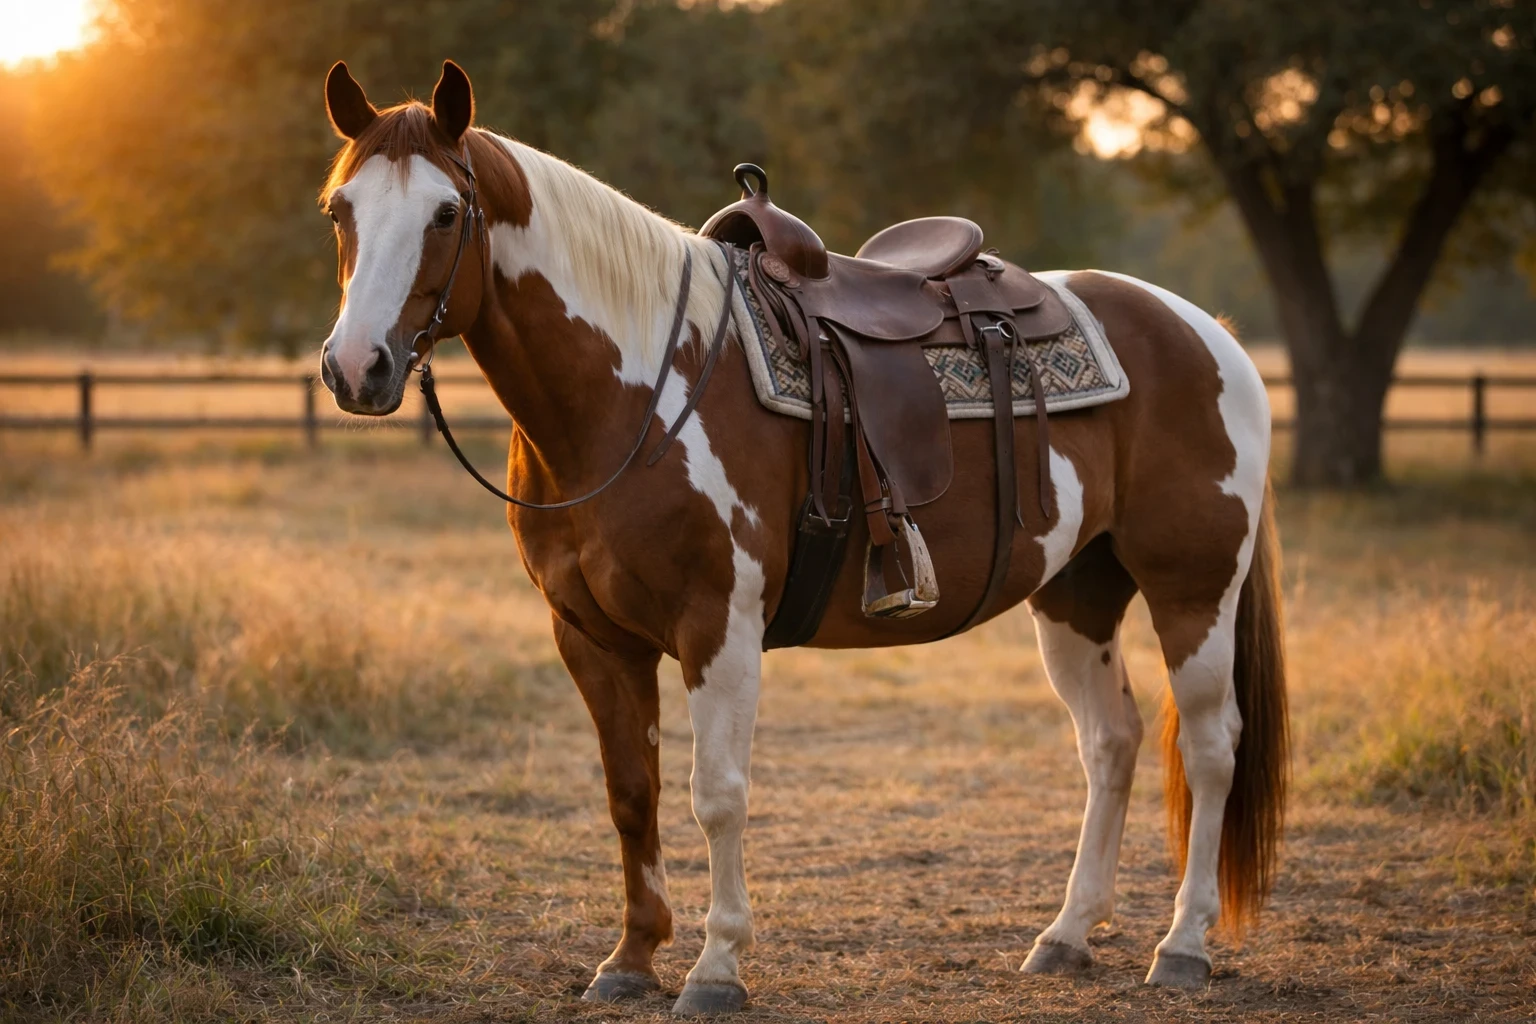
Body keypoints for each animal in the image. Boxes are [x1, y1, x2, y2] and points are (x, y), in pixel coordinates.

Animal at [316, 60, 1288, 1015]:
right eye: (339, 210)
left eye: (446, 213)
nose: (356, 367)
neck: (638, 390)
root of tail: (1209, 335)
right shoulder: (590, 636)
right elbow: (632, 793)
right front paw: (630, 960)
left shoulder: (718, 625)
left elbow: (717, 796)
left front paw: (716, 968)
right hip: (1077, 591)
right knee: (1111, 743)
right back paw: (1067, 936)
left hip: (1194, 587)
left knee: (1210, 748)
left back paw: (1183, 946)